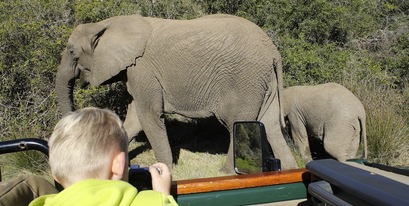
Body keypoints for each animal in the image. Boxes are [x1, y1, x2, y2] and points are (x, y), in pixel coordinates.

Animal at [55, 14, 296, 171]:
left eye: (72, 52)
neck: (106, 24)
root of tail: (273, 50)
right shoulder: (136, 72)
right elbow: (134, 119)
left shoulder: (142, 69)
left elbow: (149, 115)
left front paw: (164, 171)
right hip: (264, 82)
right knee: (271, 125)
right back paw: (288, 170)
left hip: (244, 80)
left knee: (239, 125)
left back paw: (226, 173)